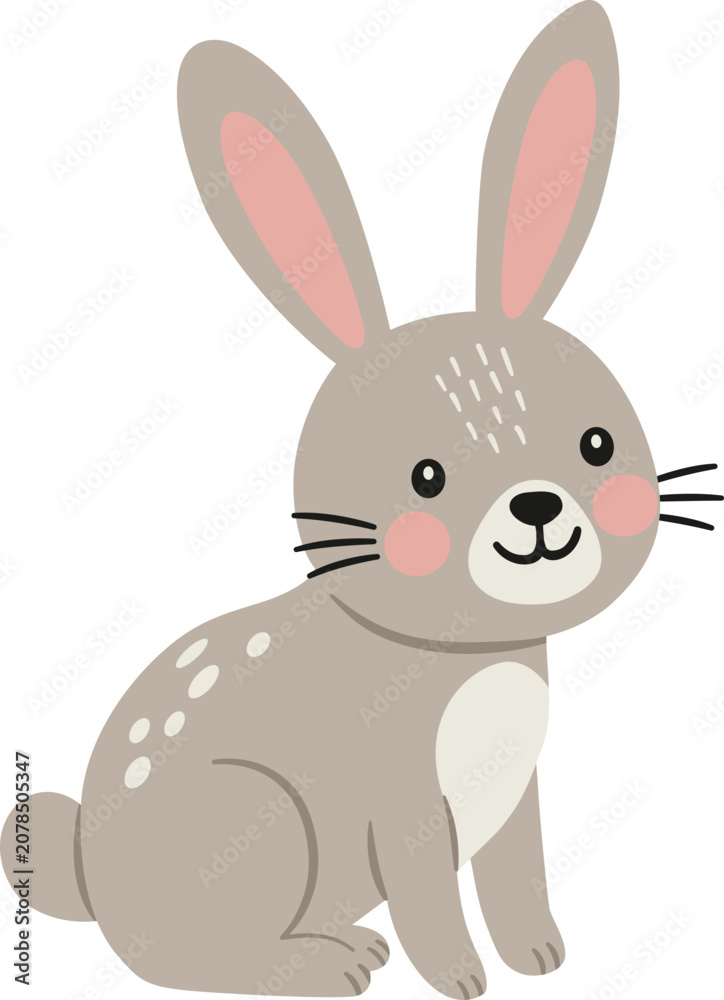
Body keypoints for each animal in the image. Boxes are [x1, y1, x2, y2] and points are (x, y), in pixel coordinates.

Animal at [3, 2, 721, 996]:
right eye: (424, 477)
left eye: (596, 445)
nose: (536, 508)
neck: (461, 653)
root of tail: (89, 881)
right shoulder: (401, 805)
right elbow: (429, 897)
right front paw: (463, 981)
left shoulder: (516, 798)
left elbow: (518, 875)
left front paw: (541, 959)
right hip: (256, 818)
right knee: (187, 958)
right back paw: (328, 964)